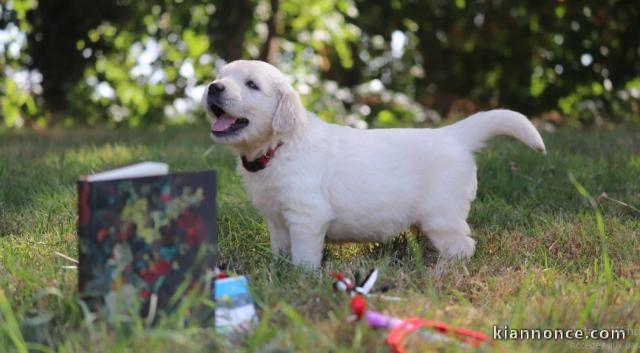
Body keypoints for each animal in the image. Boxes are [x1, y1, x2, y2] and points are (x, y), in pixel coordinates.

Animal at [204, 60, 544, 268]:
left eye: (252, 85)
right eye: (221, 76)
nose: (213, 87)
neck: (280, 146)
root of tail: (453, 135)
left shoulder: (306, 215)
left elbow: (304, 257)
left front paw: (301, 280)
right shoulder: (277, 220)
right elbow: (281, 251)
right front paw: (278, 273)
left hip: (442, 214)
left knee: (462, 247)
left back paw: (439, 274)